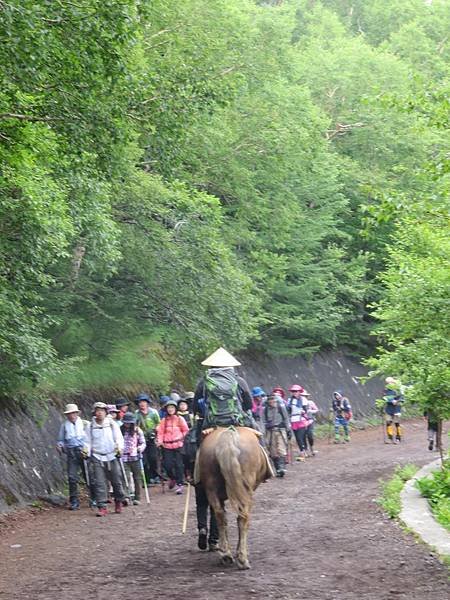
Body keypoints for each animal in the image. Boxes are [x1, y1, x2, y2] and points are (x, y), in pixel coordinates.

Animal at [197, 424, 270, 568]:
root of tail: (228, 436)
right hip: (245, 492)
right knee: (243, 518)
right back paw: (242, 559)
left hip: (211, 489)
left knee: (220, 516)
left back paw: (226, 555)